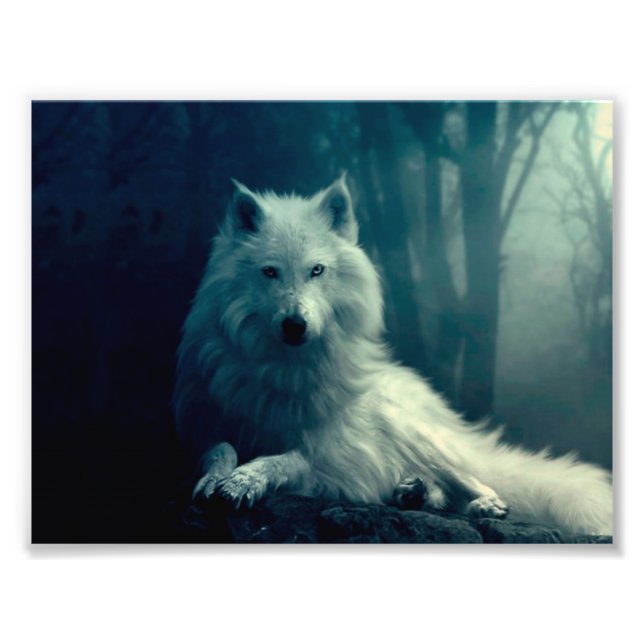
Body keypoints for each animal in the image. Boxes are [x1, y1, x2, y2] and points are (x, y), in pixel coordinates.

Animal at [174, 176, 613, 536]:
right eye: (270, 272)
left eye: (317, 270)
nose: (295, 325)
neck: (285, 369)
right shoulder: (204, 424)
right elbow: (220, 449)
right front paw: (215, 479)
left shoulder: (328, 455)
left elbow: (283, 459)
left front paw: (244, 481)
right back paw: (411, 492)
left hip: (413, 434)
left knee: (474, 479)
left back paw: (481, 503)